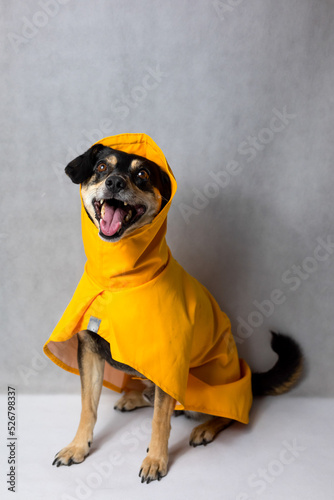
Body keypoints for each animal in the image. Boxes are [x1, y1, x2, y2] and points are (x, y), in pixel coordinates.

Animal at [49, 135, 302, 482]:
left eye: (142, 175)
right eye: (101, 168)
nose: (114, 182)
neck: (119, 282)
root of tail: (247, 377)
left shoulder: (168, 363)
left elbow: (160, 420)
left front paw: (156, 460)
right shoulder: (88, 350)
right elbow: (88, 406)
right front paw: (78, 447)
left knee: (230, 413)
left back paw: (206, 427)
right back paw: (134, 397)